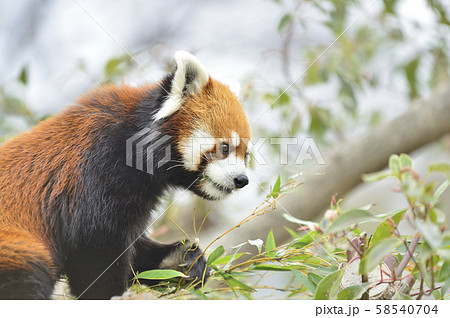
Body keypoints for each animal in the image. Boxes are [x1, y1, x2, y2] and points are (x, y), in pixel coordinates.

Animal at [0, 51, 251, 300]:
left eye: (246, 154)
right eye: (225, 148)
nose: (242, 180)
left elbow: (135, 249)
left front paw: (182, 260)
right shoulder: (98, 171)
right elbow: (95, 250)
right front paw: (112, 294)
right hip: (17, 245)